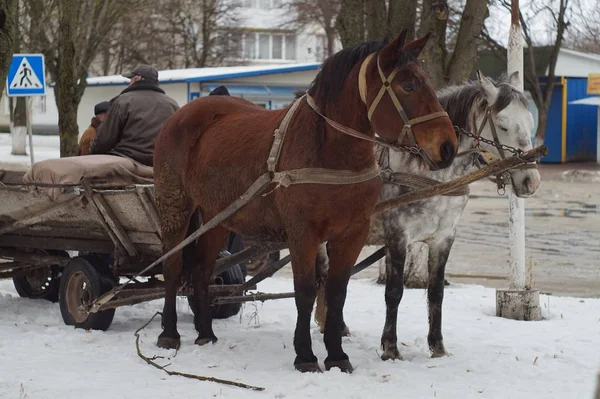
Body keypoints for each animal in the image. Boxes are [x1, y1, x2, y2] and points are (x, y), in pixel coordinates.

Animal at [152, 29, 458, 374]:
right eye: (408, 86)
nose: (448, 146)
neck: (330, 151)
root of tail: (184, 113)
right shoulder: (303, 234)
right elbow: (306, 291)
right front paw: (306, 356)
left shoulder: (352, 234)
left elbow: (337, 292)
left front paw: (337, 354)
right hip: (175, 207)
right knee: (173, 266)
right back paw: (169, 333)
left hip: (217, 217)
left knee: (202, 271)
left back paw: (206, 333)